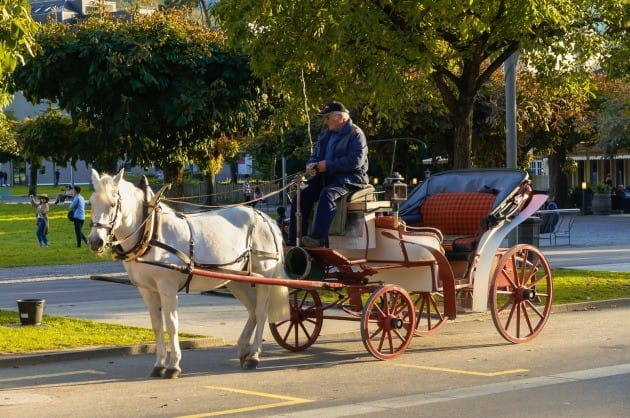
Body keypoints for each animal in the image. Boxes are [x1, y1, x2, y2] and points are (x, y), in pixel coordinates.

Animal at [87, 168, 290, 378]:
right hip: (236, 279)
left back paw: (254, 355)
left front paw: (173, 365)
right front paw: (159, 364)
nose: (95, 242)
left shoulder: (167, 287)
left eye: (112, 204)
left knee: (261, 312)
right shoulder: (147, 289)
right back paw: (243, 349)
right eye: (91, 203)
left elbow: (171, 324)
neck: (151, 231)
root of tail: (265, 218)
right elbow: (157, 325)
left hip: (264, 277)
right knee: (253, 310)